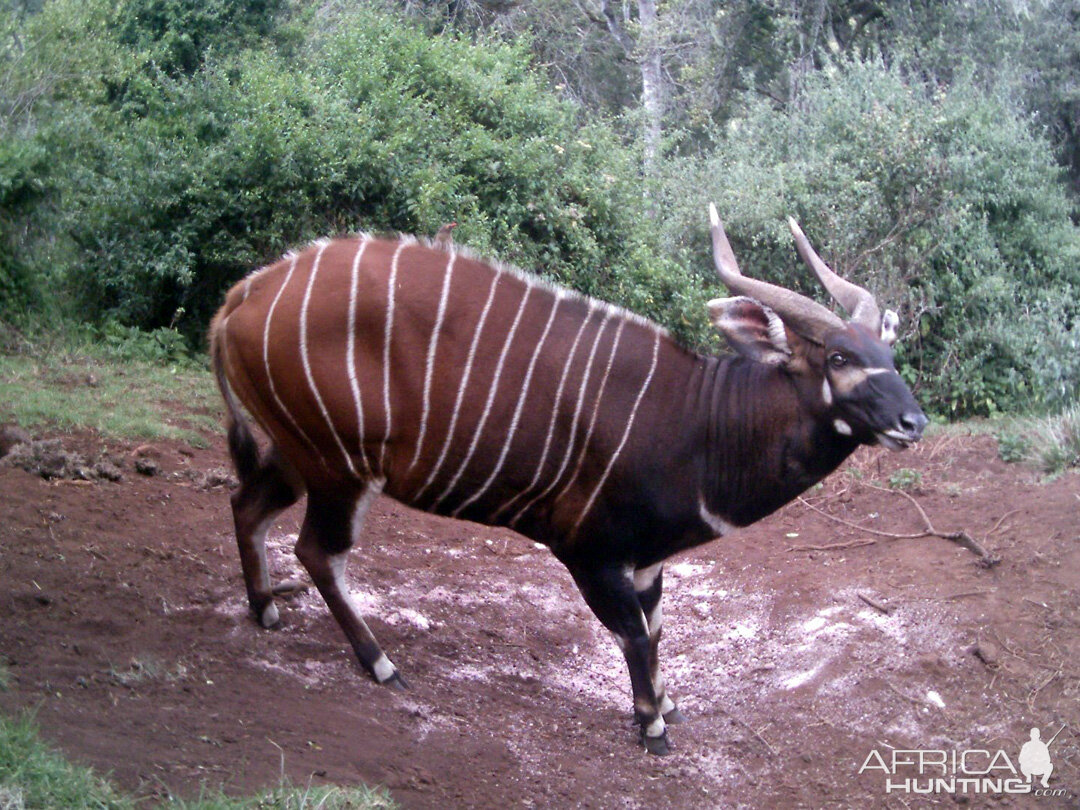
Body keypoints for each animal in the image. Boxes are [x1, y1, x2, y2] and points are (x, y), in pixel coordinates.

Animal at [210, 203, 928, 756]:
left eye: (889, 354)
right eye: (838, 357)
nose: (913, 421)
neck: (698, 422)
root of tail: (243, 294)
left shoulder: (646, 560)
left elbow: (656, 629)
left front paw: (665, 703)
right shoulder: (590, 551)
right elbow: (634, 633)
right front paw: (652, 727)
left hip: (299, 456)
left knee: (247, 504)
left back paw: (266, 609)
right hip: (339, 466)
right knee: (315, 550)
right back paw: (381, 663)